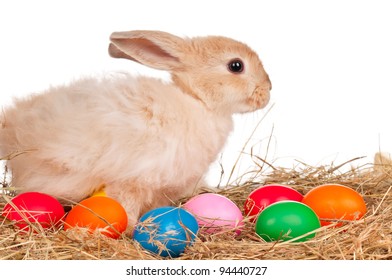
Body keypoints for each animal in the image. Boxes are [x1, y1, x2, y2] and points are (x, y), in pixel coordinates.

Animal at [0, 29, 272, 229]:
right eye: (236, 66)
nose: (268, 90)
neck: (198, 103)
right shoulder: (133, 180)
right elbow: (126, 206)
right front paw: (132, 229)